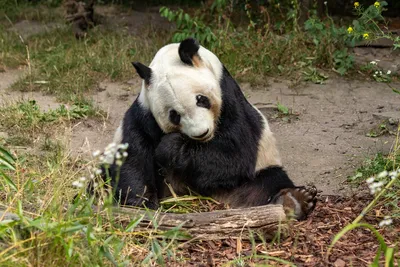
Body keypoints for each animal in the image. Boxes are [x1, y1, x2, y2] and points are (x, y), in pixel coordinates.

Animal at [107, 38, 318, 222]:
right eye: (174, 115)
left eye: (201, 99)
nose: (201, 133)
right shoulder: (143, 113)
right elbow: (134, 157)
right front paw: (140, 205)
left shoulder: (230, 100)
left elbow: (235, 155)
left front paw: (170, 147)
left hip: (257, 172)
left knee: (269, 182)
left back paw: (294, 201)